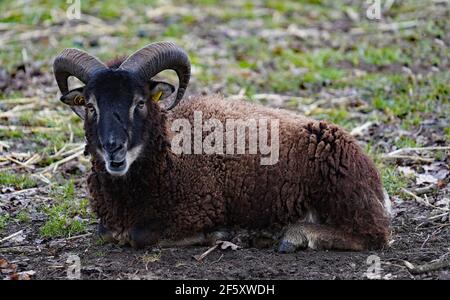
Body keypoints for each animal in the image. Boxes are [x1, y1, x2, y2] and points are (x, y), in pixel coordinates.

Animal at [51, 40, 390, 251]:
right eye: (91, 106)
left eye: (140, 102)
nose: (113, 148)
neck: (170, 158)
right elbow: (106, 232)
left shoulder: (197, 208)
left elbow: (140, 236)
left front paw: (217, 234)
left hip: (341, 195)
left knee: (373, 236)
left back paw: (293, 235)